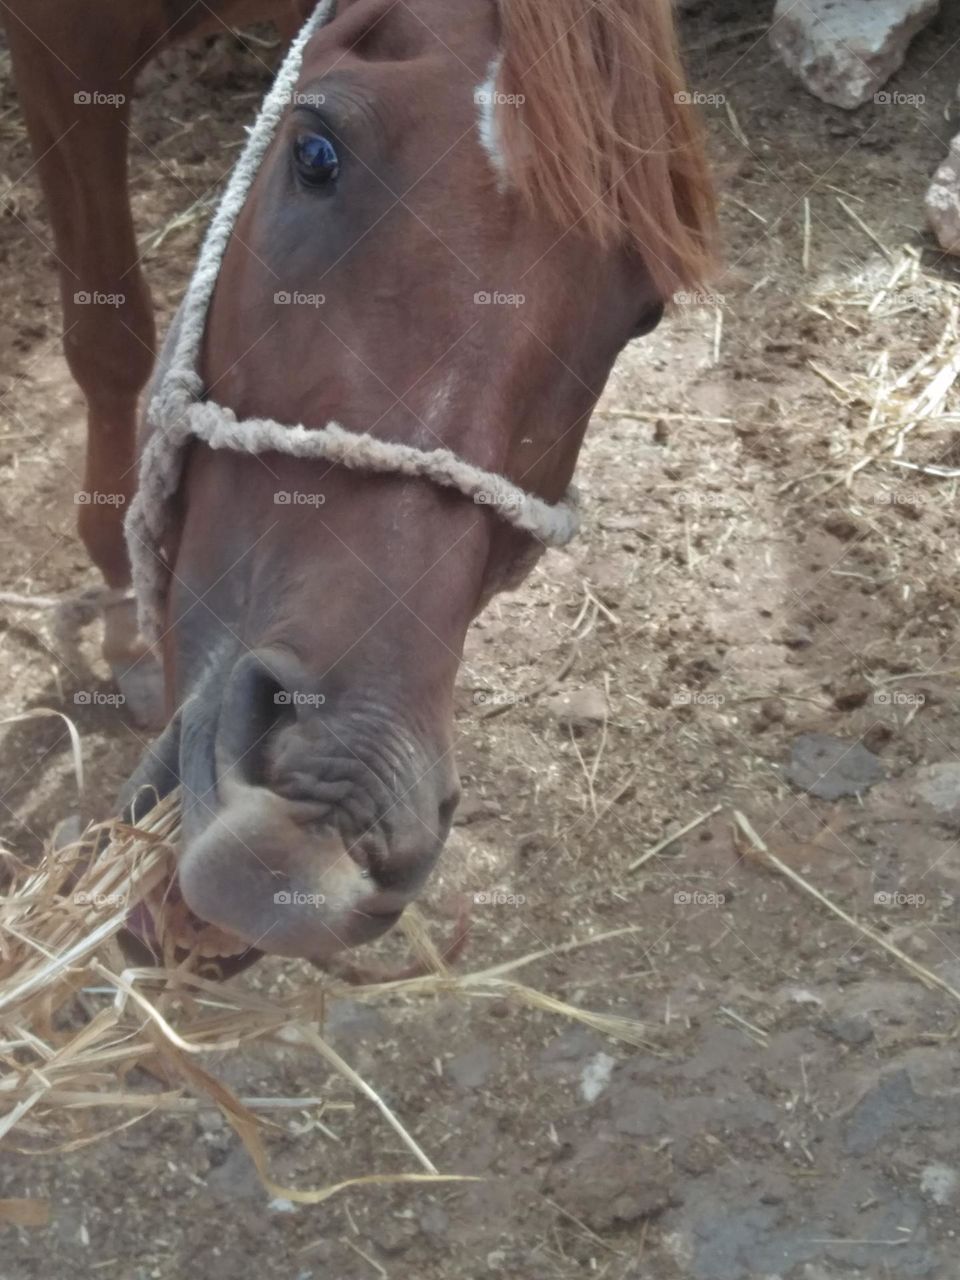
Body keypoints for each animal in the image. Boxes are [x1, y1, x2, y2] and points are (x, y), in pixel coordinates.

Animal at [9, 0, 716, 962]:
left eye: (643, 312)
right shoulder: (64, 44)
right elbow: (108, 335)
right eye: (315, 152)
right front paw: (123, 605)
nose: (325, 812)